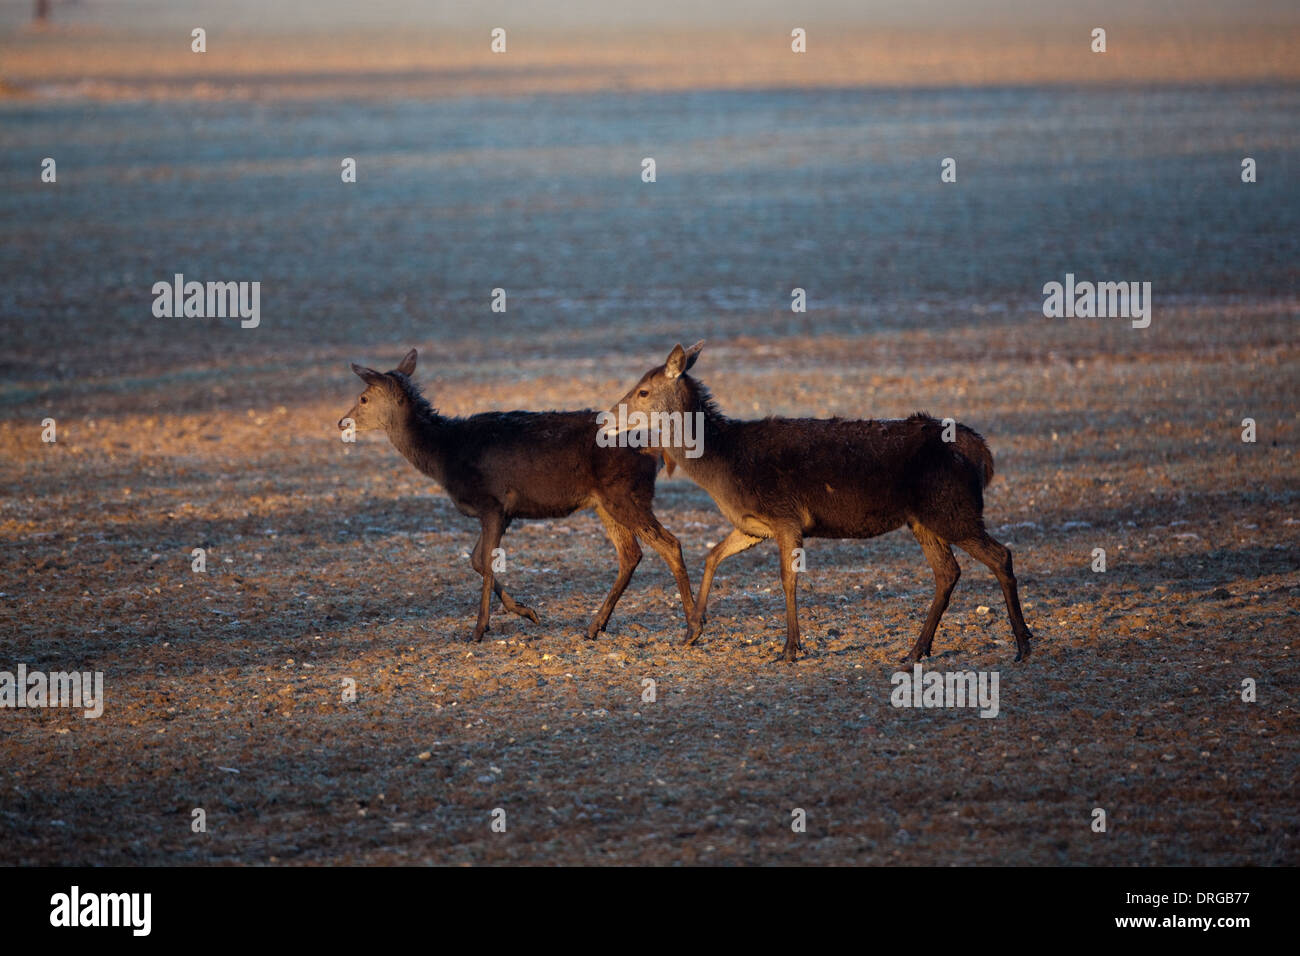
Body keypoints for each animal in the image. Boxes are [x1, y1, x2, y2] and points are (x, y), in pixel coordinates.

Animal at [338, 348, 695, 643]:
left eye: (364, 398)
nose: (342, 421)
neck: (445, 454)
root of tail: (656, 452)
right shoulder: (503, 512)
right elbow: (476, 559)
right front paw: (527, 611)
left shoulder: (493, 503)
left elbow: (484, 560)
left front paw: (479, 629)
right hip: (605, 503)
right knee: (630, 554)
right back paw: (595, 626)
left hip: (626, 494)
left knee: (669, 543)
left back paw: (693, 626)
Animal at [604, 342, 1034, 664]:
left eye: (643, 391)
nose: (607, 418)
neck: (723, 467)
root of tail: (981, 452)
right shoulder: (753, 525)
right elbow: (713, 555)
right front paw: (693, 630)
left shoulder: (785, 517)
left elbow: (787, 578)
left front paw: (790, 649)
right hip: (924, 519)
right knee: (948, 572)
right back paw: (917, 650)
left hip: (952, 509)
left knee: (1000, 556)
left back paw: (1023, 644)